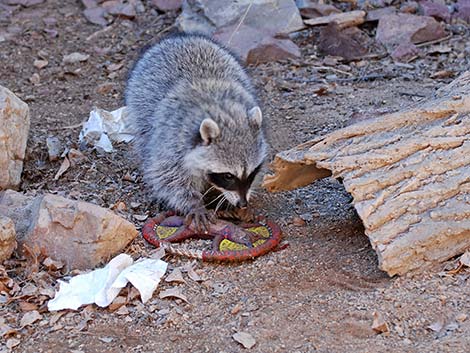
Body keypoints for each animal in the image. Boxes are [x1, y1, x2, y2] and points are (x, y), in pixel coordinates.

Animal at [126, 33, 268, 228]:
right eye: (228, 176)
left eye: (252, 172)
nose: (242, 203)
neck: (223, 112)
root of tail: (180, 38)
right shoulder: (172, 140)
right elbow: (169, 178)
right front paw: (195, 204)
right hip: (140, 110)